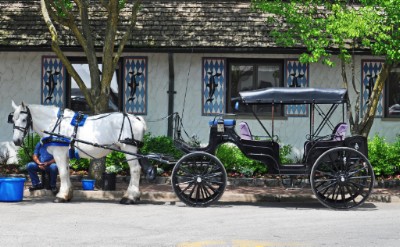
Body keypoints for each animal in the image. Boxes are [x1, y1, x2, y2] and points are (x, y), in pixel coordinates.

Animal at [10, 101, 147, 204]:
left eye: (24, 119)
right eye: (13, 120)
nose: (16, 141)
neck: (55, 123)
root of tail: (137, 118)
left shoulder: (59, 154)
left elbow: (62, 173)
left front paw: (61, 196)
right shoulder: (64, 155)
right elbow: (66, 172)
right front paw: (68, 194)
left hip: (129, 149)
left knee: (135, 170)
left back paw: (130, 197)